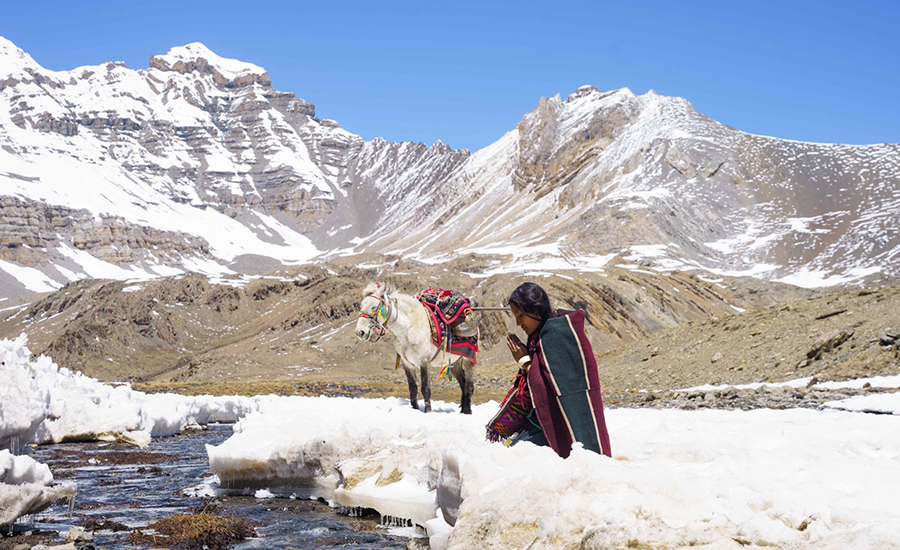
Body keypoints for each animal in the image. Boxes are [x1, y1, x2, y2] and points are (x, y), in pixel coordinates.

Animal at [356, 284, 478, 414]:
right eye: (361, 305)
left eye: (374, 306)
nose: (360, 332)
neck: (409, 327)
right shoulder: (407, 364)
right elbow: (412, 388)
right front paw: (414, 409)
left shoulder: (424, 362)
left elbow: (425, 388)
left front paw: (428, 411)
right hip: (454, 362)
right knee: (462, 383)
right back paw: (463, 411)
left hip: (468, 359)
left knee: (469, 385)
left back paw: (467, 411)